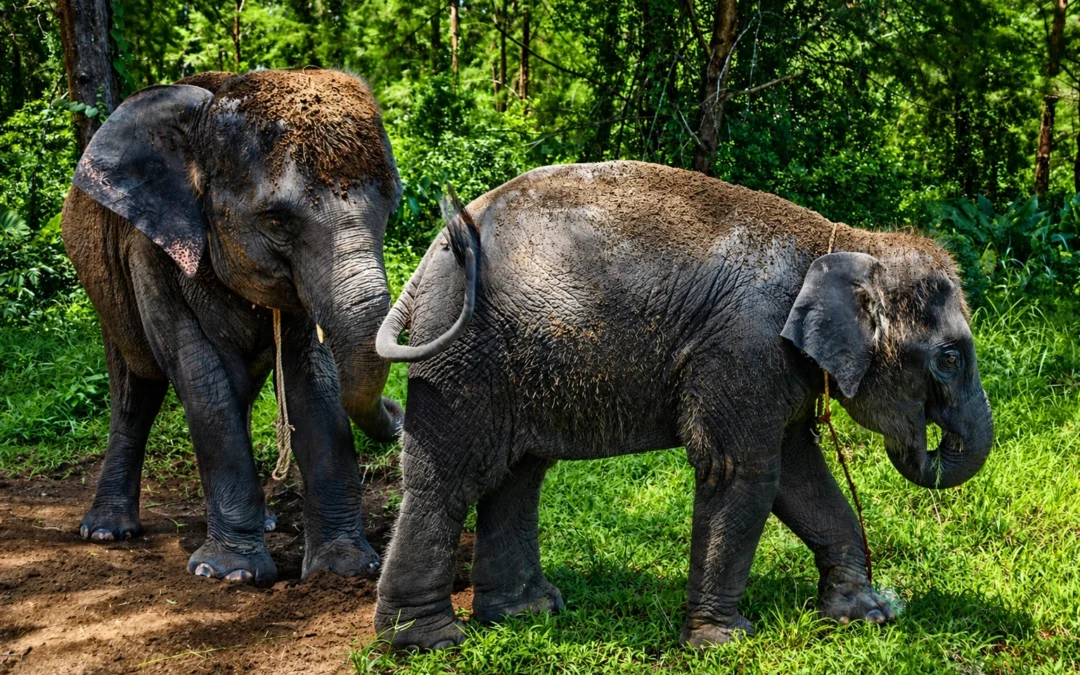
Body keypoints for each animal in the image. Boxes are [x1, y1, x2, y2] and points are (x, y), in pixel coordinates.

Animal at [61, 69, 404, 586]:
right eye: (277, 221)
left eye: (391, 208)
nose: (397, 407)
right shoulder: (150, 248)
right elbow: (198, 371)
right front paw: (228, 575)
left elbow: (313, 377)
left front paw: (344, 570)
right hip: (105, 288)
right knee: (137, 387)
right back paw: (106, 532)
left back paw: (266, 521)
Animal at [371, 161, 994, 649]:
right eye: (949, 358)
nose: (923, 441)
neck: (839, 241)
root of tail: (431, 258)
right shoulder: (746, 347)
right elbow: (740, 470)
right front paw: (723, 642)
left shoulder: (773, 366)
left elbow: (797, 473)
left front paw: (867, 615)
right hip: (461, 358)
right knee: (450, 477)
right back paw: (429, 641)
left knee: (518, 474)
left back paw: (527, 613)